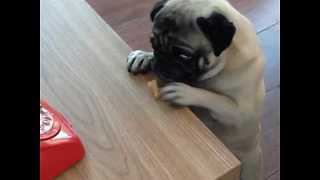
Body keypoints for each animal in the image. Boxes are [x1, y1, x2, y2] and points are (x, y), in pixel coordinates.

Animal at [127, 0, 264, 179]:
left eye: (184, 56)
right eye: (153, 44)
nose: (162, 62)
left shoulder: (240, 111)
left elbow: (213, 97)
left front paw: (185, 93)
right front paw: (144, 56)